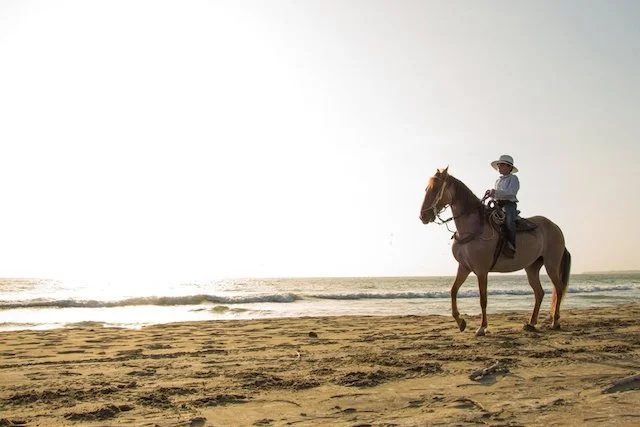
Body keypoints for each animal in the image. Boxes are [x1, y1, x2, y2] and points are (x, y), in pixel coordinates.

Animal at [419, 167, 571, 336]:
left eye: (436, 188)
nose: (423, 216)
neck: (473, 228)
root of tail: (555, 227)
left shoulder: (481, 271)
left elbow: (483, 299)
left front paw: (482, 327)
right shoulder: (464, 267)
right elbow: (453, 291)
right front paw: (461, 322)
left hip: (552, 264)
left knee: (559, 288)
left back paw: (555, 321)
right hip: (532, 267)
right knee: (539, 292)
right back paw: (531, 323)